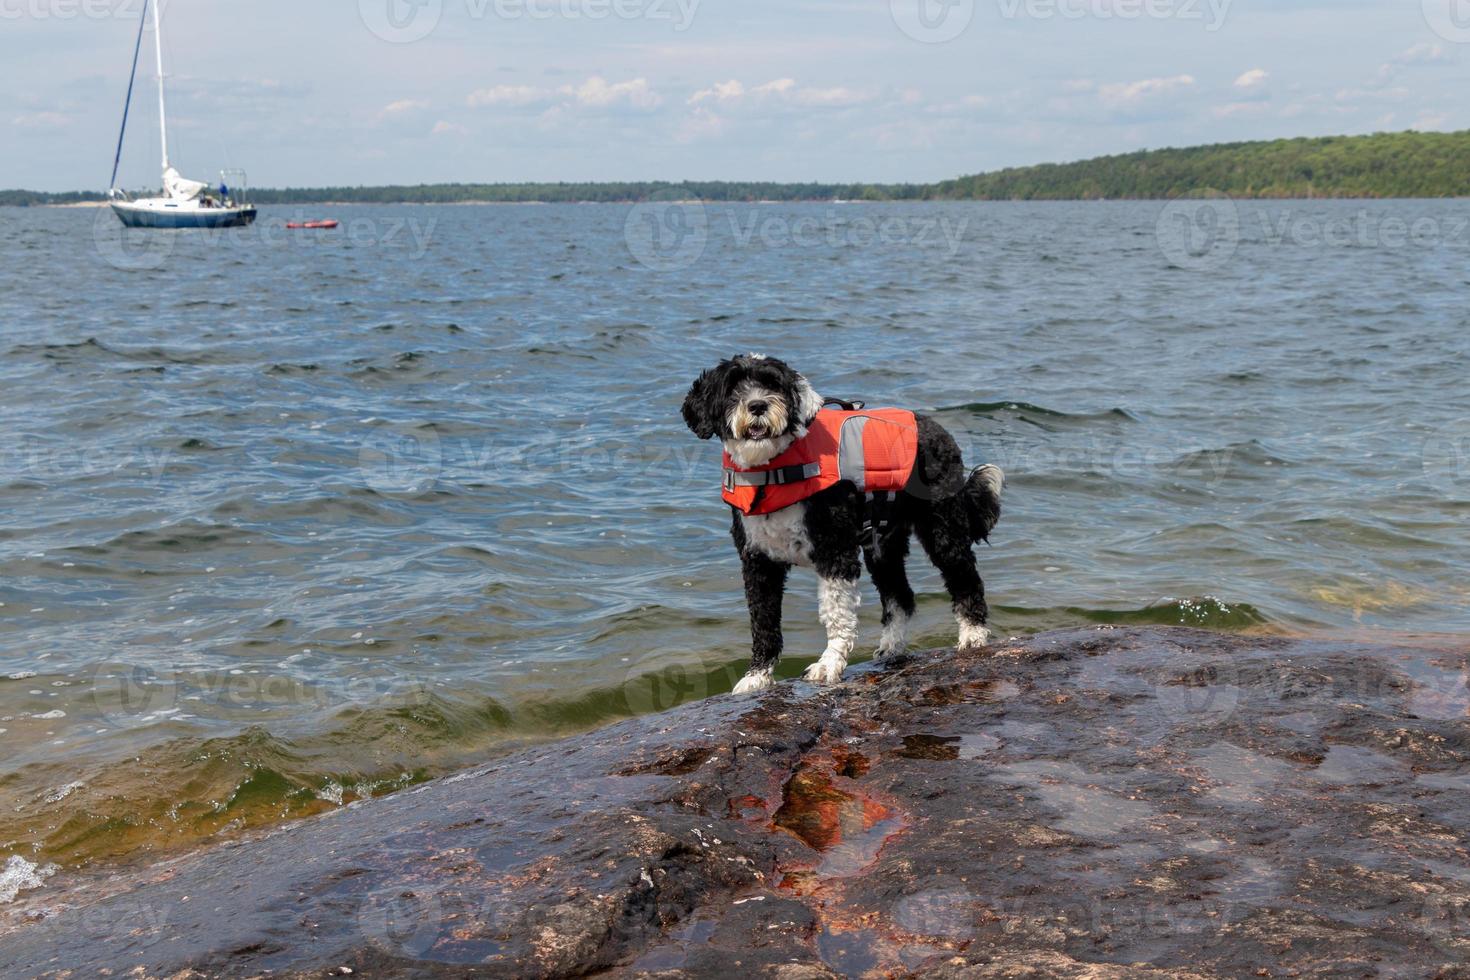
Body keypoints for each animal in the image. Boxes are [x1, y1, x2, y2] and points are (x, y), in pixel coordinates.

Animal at [682, 357, 1005, 693]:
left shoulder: (834, 553)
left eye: (773, 384)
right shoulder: (758, 561)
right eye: (733, 387)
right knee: (901, 596)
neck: (774, 469)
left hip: (941, 528)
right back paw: (892, 646)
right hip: (882, 543)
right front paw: (757, 676)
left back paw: (973, 634)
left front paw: (828, 664)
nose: (757, 405)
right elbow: (763, 620)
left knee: (965, 578)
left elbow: (836, 614)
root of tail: (939, 430)